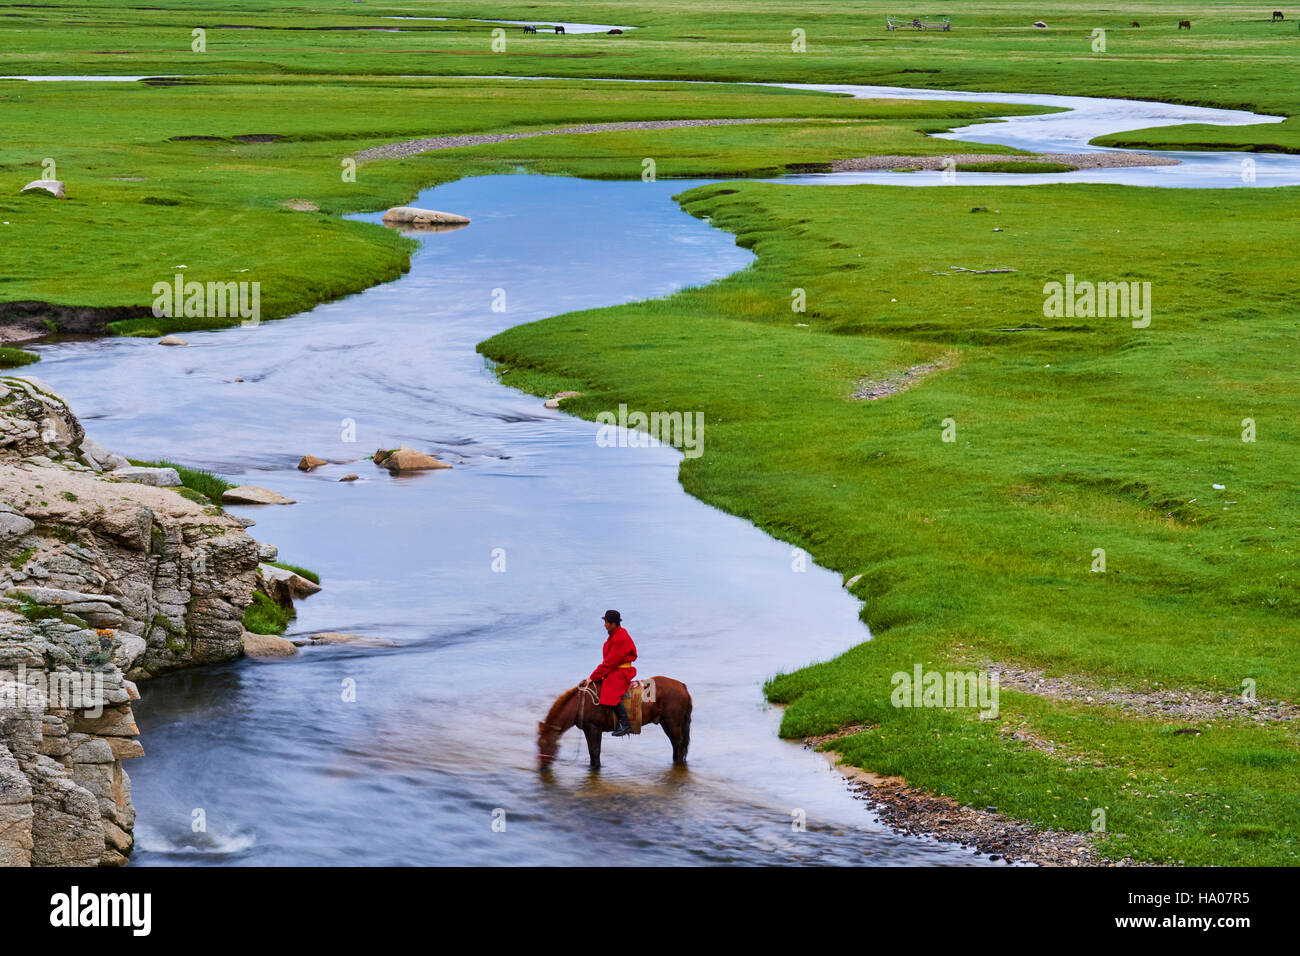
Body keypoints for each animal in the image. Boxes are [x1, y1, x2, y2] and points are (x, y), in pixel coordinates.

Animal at [535, 671, 691, 770]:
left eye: (547, 743)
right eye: (538, 744)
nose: (541, 767)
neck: (581, 703)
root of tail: (682, 686)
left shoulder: (595, 729)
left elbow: (595, 752)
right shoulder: (587, 730)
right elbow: (591, 752)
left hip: (672, 723)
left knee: (678, 744)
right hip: (667, 723)